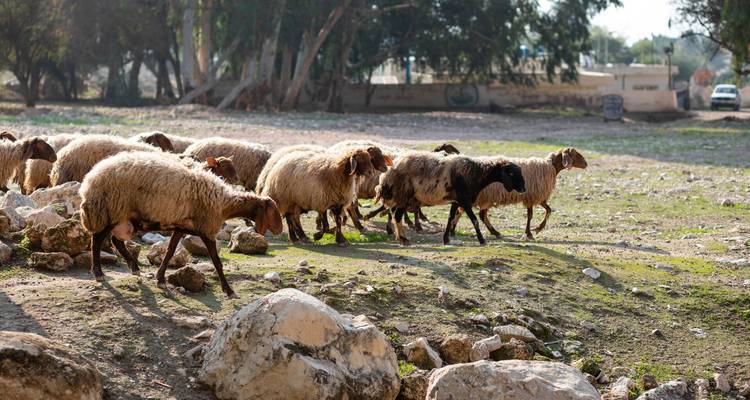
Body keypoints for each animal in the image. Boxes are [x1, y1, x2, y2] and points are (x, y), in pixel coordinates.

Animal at [79, 151, 283, 297]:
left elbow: (170, 252)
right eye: (272, 210)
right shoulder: (206, 229)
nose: (280, 230)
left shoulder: (181, 228)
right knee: (97, 241)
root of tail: (89, 181)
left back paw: (135, 268)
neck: (224, 204)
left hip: (122, 218)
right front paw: (229, 291)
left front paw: (160, 279)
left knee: (117, 242)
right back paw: (98, 273)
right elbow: (217, 262)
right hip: (109, 212)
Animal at [375, 151, 526, 245]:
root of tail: (388, 172)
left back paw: (399, 237)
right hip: (404, 194)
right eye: (511, 173)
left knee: (395, 213)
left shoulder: (456, 200)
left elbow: (450, 218)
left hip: (402, 196)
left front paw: (446, 239)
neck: (477, 173)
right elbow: (475, 220)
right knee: (397, 215)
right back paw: (403, 239)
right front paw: (482, 240)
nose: (523, 189)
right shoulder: (465, 200)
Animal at [450, 147, 588, 240]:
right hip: (482, 196)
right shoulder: (533, 196)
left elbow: (548, 210)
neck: (551, 166)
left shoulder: (536, 197)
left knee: (470, 213)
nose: (586, 164)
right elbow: (532, 215)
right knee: (476, 214)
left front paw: (536, 229)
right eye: (575, 154)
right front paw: (531, 232)